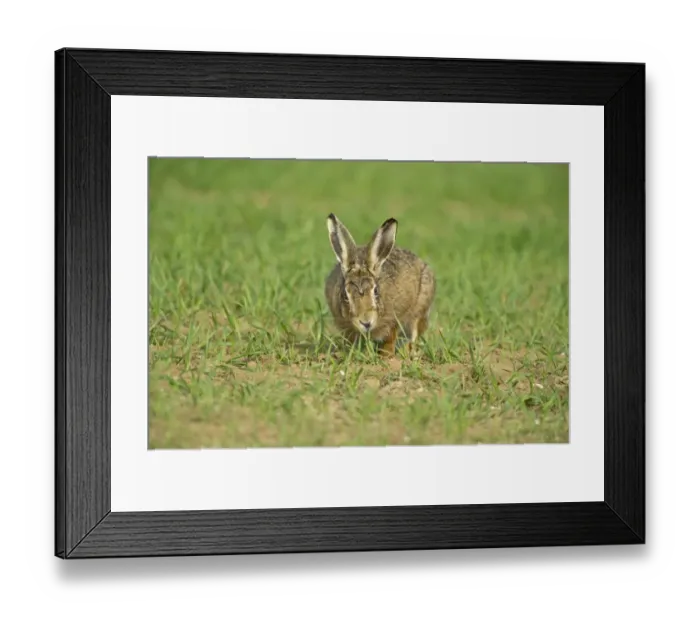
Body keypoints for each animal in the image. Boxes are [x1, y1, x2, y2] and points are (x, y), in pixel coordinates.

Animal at [324, 213, 436, 357]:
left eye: (376, 291)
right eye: (345, 295)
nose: (366, 322)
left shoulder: (394, 317)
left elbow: (390, 337)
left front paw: (385, 355)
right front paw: (350, 353)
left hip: (421, 307)